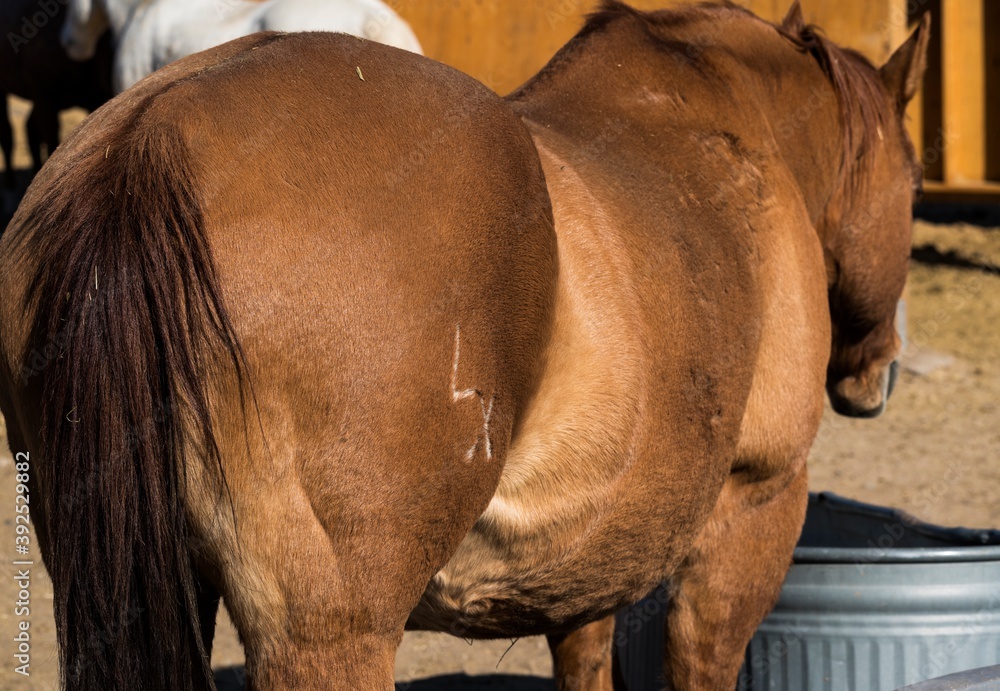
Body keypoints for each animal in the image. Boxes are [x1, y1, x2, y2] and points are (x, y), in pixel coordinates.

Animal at [0, 0, 113, 191]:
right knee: (7, 133)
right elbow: (52, 141)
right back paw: (10, 184)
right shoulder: (43, 97)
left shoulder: (95, 100)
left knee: (29, 129)